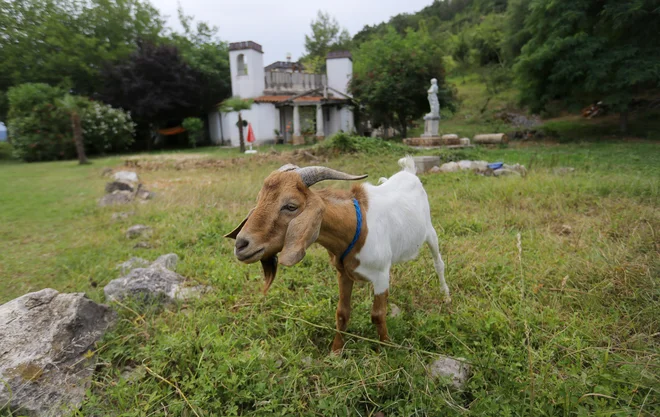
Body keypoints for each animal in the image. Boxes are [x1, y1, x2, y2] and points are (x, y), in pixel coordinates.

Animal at [226, 156, 448, 352]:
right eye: (259, 200)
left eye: (291, 206)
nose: (241, 244)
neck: (356, 226)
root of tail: (409, 171)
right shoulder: (343, 273)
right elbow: (342, 313)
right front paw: (336, 351)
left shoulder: (381, 276)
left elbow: (377, 314)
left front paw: (387, 347)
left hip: (430, 233)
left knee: (439, 263)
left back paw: (446, 296)